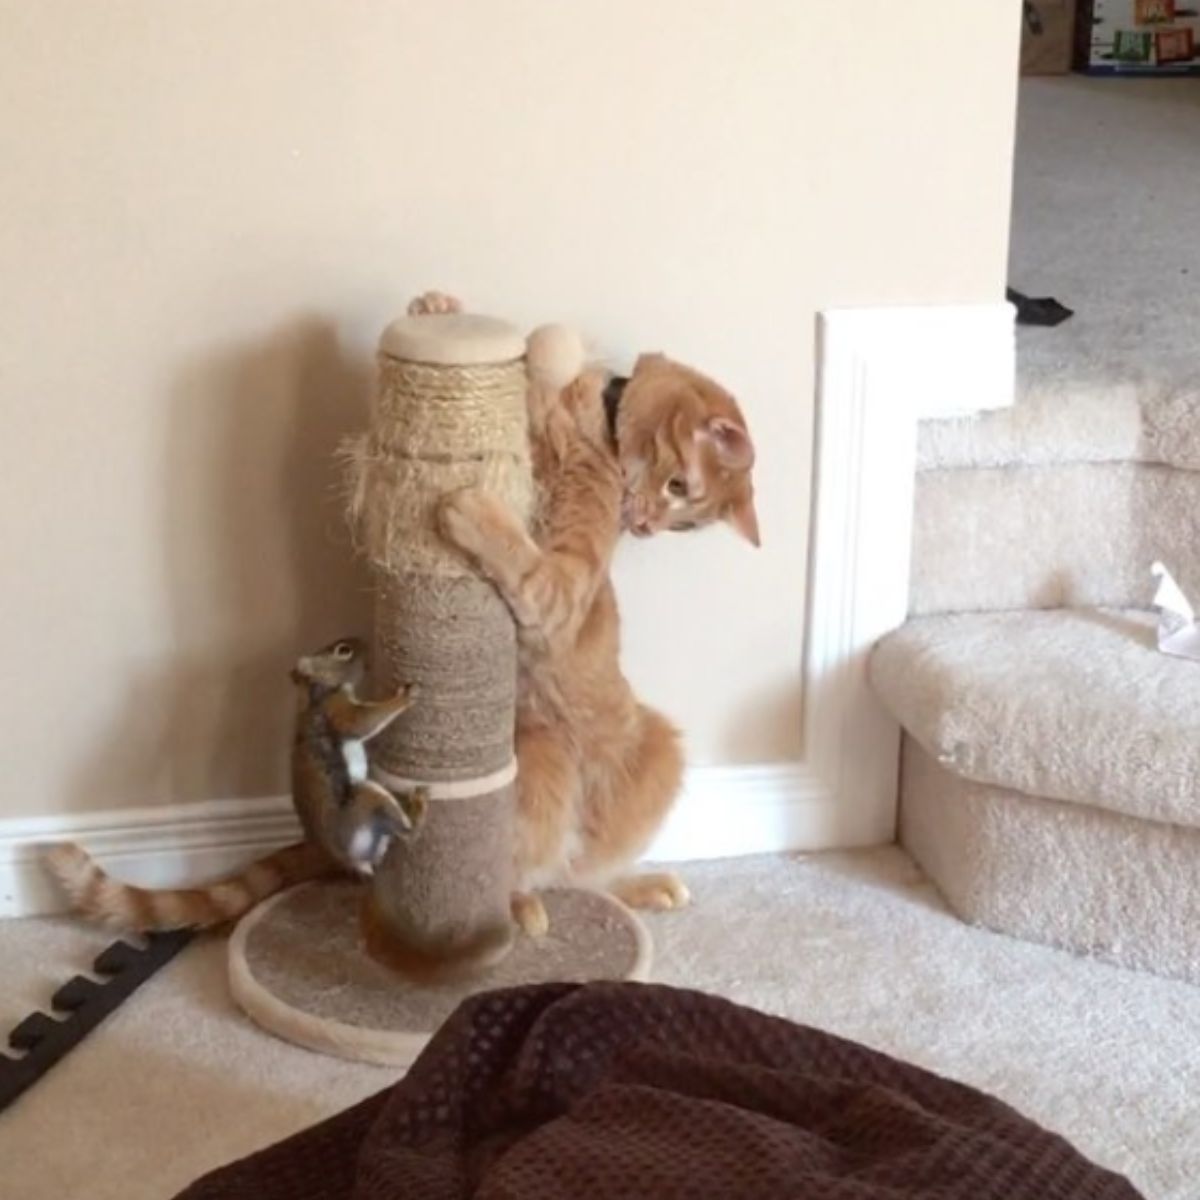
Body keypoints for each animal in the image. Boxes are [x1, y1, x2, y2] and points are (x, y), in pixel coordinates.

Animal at [43, 638, 427, 926]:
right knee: (396, 830)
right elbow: (363, 720)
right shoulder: (336, 712)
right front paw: (402, 697)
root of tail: (325, 852)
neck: (311, 694)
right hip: (361, 805)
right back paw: (417, 811)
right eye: (343, 650)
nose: (364, 643)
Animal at [422, 292, 758, 936]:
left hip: (618, 751)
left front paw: (476, 512)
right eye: (680, 490)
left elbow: (519, 555)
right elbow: (534, 372)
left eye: (682, 518)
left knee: (571, 873)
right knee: (558, 869)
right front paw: (437, 309)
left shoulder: (557, 589)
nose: (647, 526)